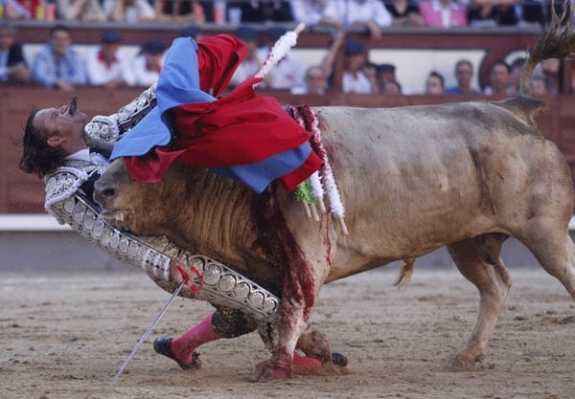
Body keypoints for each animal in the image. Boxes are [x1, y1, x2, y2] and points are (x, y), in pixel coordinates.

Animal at [94, 14, 575, 382]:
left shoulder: (306, 254)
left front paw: (278, 368)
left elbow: (288, 311)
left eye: (153, 154)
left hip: (544, 231)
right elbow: (260, 313)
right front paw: (318, 352)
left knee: (560, 272)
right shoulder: (261, 267)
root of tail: (514, 108)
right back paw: (467, 355)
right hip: (467, 241)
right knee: (494, 286)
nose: (100, 189)